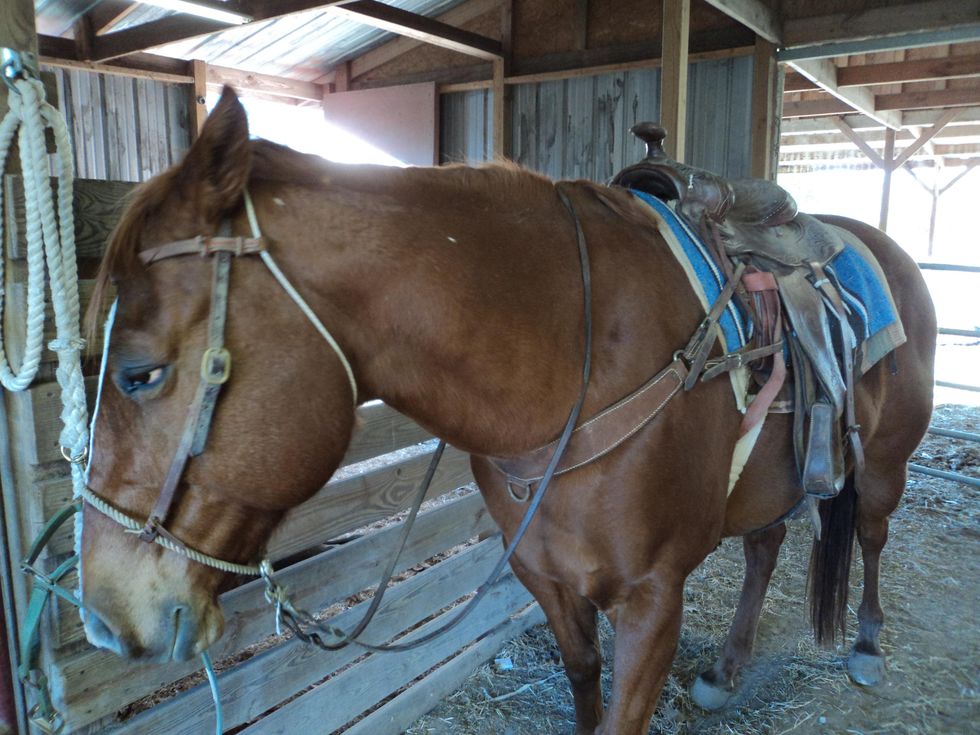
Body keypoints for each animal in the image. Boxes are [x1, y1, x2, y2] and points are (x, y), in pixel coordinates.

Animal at [80, 88, 935, 734]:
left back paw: (866, 644)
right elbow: (583, 680)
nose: (102, 617)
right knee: (764, 546)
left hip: (884, 466)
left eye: (138, 374)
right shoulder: (546, 577)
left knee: (870, 533)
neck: (579, 360)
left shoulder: (653, 600)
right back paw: (726, 668)